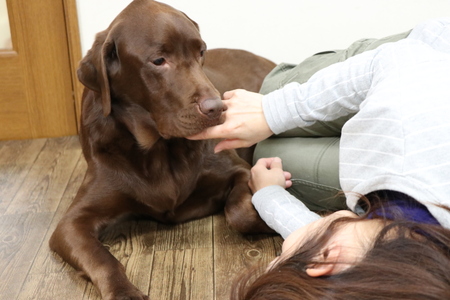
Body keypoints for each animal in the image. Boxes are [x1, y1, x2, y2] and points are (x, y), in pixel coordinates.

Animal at [48, 0, 274, 300]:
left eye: (201, 52)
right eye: (159, 61)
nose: (218, 108)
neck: (158, 150)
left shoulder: (240, 170)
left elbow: (242, 213)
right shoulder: (72, 222)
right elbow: (101, 258)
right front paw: (123, 292)